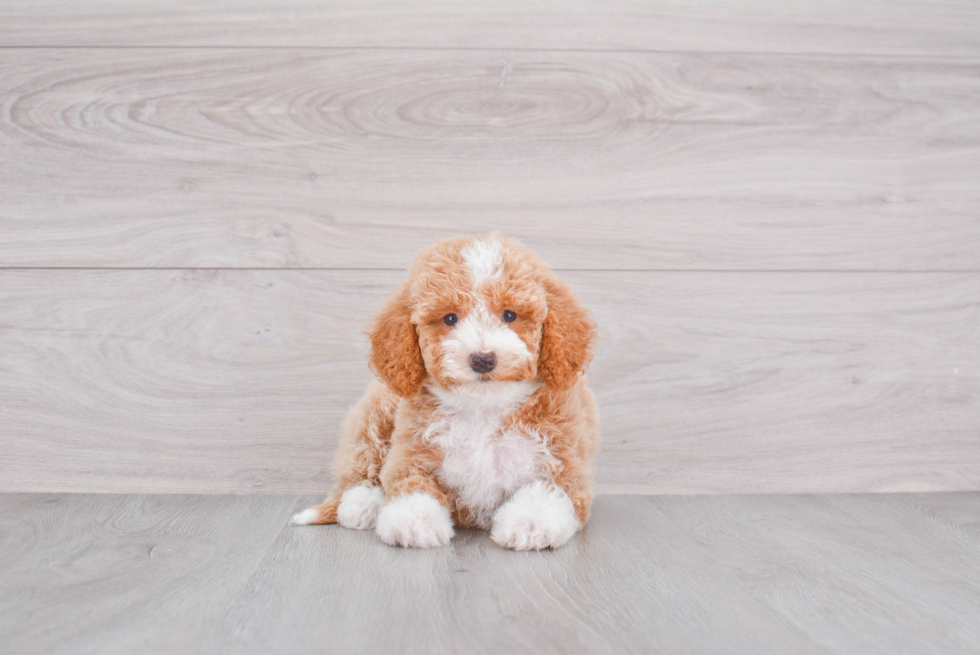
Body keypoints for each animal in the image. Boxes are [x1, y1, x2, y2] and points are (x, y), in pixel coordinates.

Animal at [290, 233, 596, 552]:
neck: (482, 407)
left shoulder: (564, 460)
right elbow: (409, 483)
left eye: (510, 315)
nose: (483, 359)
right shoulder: (411, 452)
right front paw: (415, 521)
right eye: (450, 319)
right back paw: (363, 504)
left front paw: (530, 523)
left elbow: (549, 490)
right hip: (378, 411)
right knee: (359, 469)